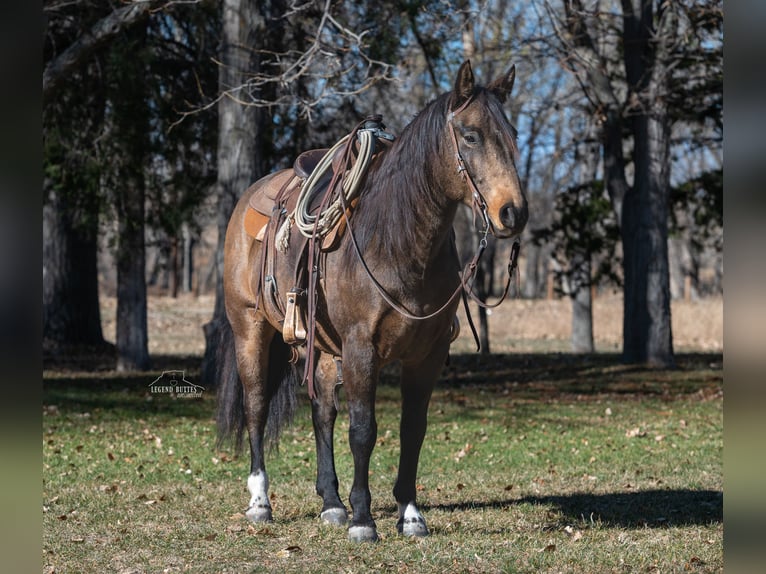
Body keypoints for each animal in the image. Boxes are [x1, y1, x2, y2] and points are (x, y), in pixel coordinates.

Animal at [216, 60, 528, 544]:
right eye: (471, 135)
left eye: (512, 132)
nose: (513, 212)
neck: (395, 240)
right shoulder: (362, 349)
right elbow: (363, 430)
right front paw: (363, 519)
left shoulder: (427, 354)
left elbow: (412, 428)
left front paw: (410, 514)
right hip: (251, 330)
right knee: (256, 407)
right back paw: (260, 502)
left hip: (322, 349)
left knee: (322, 412)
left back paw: (330, 502)